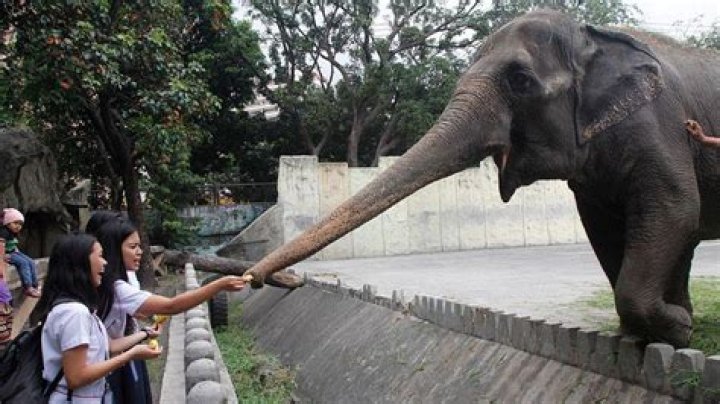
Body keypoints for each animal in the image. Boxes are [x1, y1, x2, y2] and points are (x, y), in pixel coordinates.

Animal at [244, 9, 720, 348]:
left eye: (520, 80)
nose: (254, 280)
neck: (593, 36)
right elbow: (606, 227)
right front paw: (659, 331)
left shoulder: (659, 124)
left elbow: (675, 208)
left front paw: (676, 329)